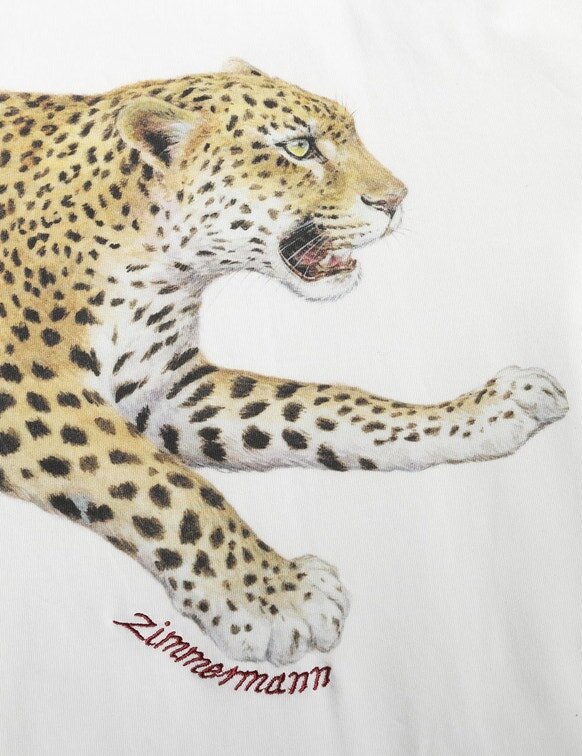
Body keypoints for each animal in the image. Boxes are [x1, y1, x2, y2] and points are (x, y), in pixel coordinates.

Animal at [0, 58, 568, 665]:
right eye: (299, 148)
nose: (397, 199)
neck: (155, 266)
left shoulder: (166, 385)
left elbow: (328, 406)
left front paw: (490, 409)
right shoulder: (30, 393)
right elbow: (165, 485)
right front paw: (274, 598)